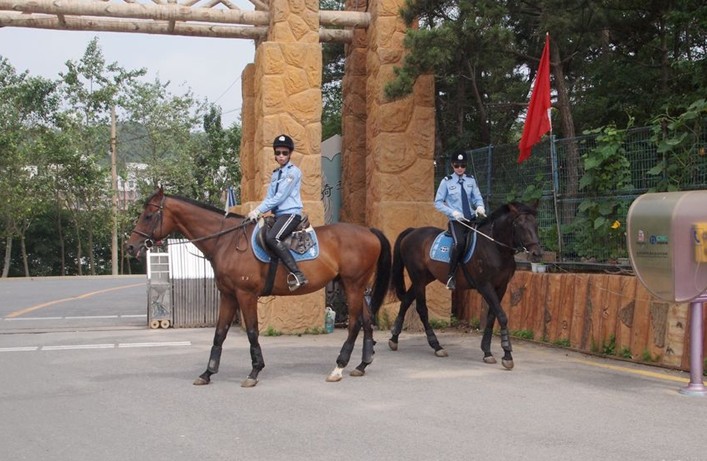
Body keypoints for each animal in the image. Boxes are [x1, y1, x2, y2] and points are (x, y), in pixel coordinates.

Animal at [125, 188, 392, 387]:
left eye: (148, 215)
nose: (130, 246)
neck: (226, 241)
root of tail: (368, 230)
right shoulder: (228, 296)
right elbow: (219, 333)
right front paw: (207, 373)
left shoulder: (246, 295)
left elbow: (252, 331)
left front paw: (254, 372)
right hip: (354, 286)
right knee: (366, 319)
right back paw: (361, 365)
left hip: (353, 286)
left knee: (355, 323)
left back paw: (339, 367)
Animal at [388, 202, 543, 369]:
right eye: (518, 224)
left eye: (535, 224)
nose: (536, 254)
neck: (495, 247)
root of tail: (412, 231)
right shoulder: (485, 286)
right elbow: (502, 316)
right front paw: (507, 355)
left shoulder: (501, 287)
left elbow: (492, 316)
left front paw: (487, 351)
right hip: (418, 279)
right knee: (421, 309)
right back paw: (436, 346)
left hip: (424, 278)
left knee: (406, 301)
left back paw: (394, 339)